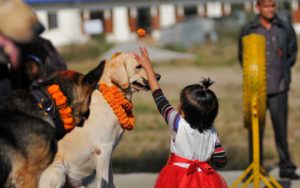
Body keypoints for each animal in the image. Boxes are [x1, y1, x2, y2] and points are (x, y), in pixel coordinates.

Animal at [41, 52, 161, 187]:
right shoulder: (104, 150)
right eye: (138, 66)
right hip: (58, 171)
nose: (158, 77)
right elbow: (104, 182)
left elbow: (111, 181)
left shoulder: (109, 153)